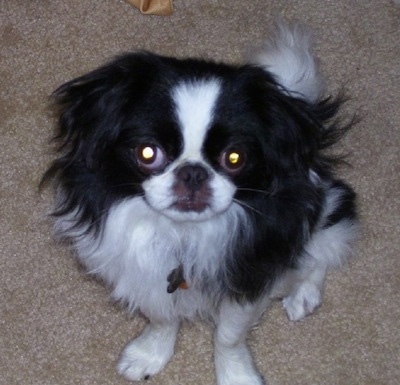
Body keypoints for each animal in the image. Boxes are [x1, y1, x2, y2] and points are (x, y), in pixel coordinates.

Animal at [43, 21, 356, 384]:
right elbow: (162, 318)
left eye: (234, 158)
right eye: (147, 153)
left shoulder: (248, 275)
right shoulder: (149, 273)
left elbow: (229, 336)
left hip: (326, 206)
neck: (183, 233)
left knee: (323, 249)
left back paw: (302, 295)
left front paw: (237, 376)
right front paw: (150, 355)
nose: (193, 172)